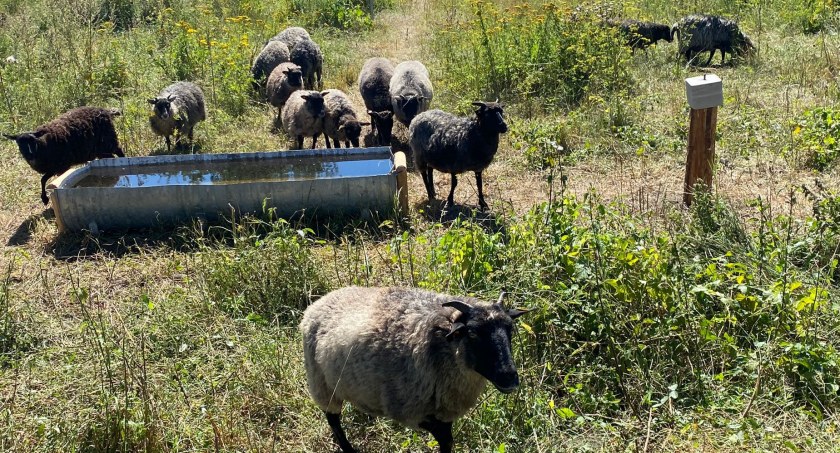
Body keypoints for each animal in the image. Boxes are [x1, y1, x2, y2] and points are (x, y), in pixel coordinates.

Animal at [298, 286, 528, 452]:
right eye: (471, 333)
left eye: (510, 330)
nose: (510, 378)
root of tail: (320, 301)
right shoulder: (409, 410)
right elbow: (445, 439)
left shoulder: (444, 410)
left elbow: (447, 441)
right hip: (321, 384)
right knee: (333, 421)